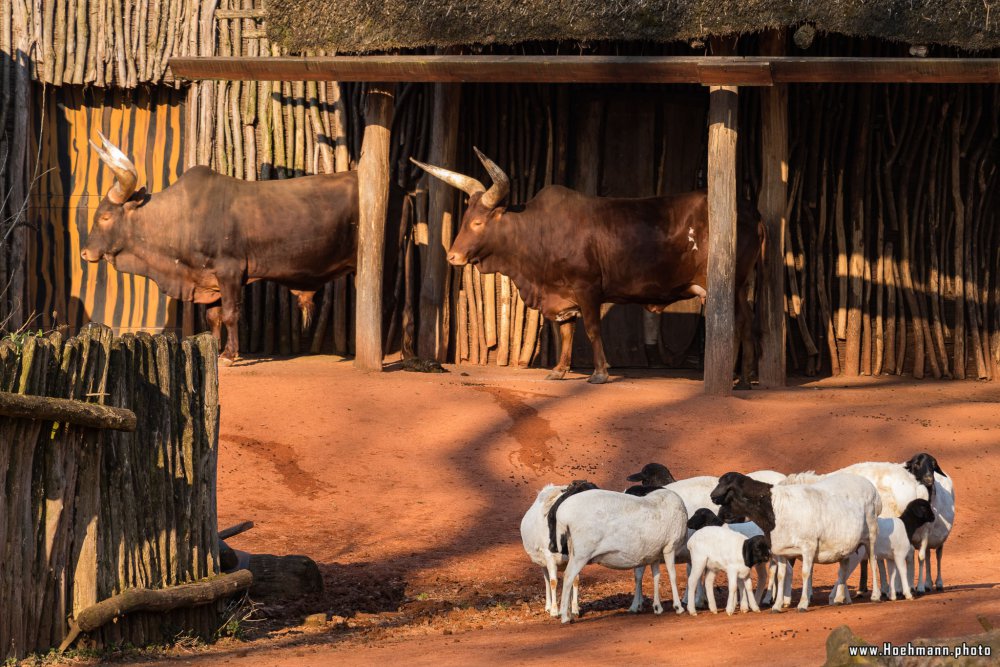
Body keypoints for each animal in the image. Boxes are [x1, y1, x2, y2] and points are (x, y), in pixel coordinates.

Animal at [83, 135, 360, 362]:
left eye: (105, 217)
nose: (85, 253)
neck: (183, 216)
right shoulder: (209, 279)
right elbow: (213, 317)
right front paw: (213, 349)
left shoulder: (230, 271)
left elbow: (229, 314)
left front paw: (228, 354)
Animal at [410, 149, 760, 384]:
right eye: (465, 219)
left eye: (479, 222)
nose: (453, 257)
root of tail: (748, 210)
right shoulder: (560, 294)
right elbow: (565, 330)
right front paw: (559, 370)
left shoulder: (587, 288)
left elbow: (591, 329)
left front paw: (601, 373)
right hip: (741, 286)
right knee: (745, 322)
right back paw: (743, 378)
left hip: (729, 285)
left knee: (734, 324)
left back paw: (731, 378)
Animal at [520, 482, 584, 620]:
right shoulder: (549, 557)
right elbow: (553, 582)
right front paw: (554, 611)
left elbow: (575, 580)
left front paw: (575, 609)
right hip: (543, 563)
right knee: (547, 580)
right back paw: (548, 606)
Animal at [552, 488, 692, 624]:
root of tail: (562, 515)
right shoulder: (669, 547)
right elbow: (672, 575)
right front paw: (678, 607)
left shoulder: (655, 554)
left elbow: (656, 576)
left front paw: (657, 607)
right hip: (581, 554)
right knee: (568, 576)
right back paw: (564, 617)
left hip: (573, 550)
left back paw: (569, 614)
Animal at [712, 470, 884, 612]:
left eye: (728, 492)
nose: (720, 514)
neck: (776, 508)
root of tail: (873, 489)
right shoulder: (781, 551)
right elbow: (781, 575)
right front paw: (777, 606)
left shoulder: (808, 546)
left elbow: (805, 573)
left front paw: (802, 604)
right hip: (845, 544)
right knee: (844, 567)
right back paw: (840, 599)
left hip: (871, 535)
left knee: (872, 561)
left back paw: (875, 596)